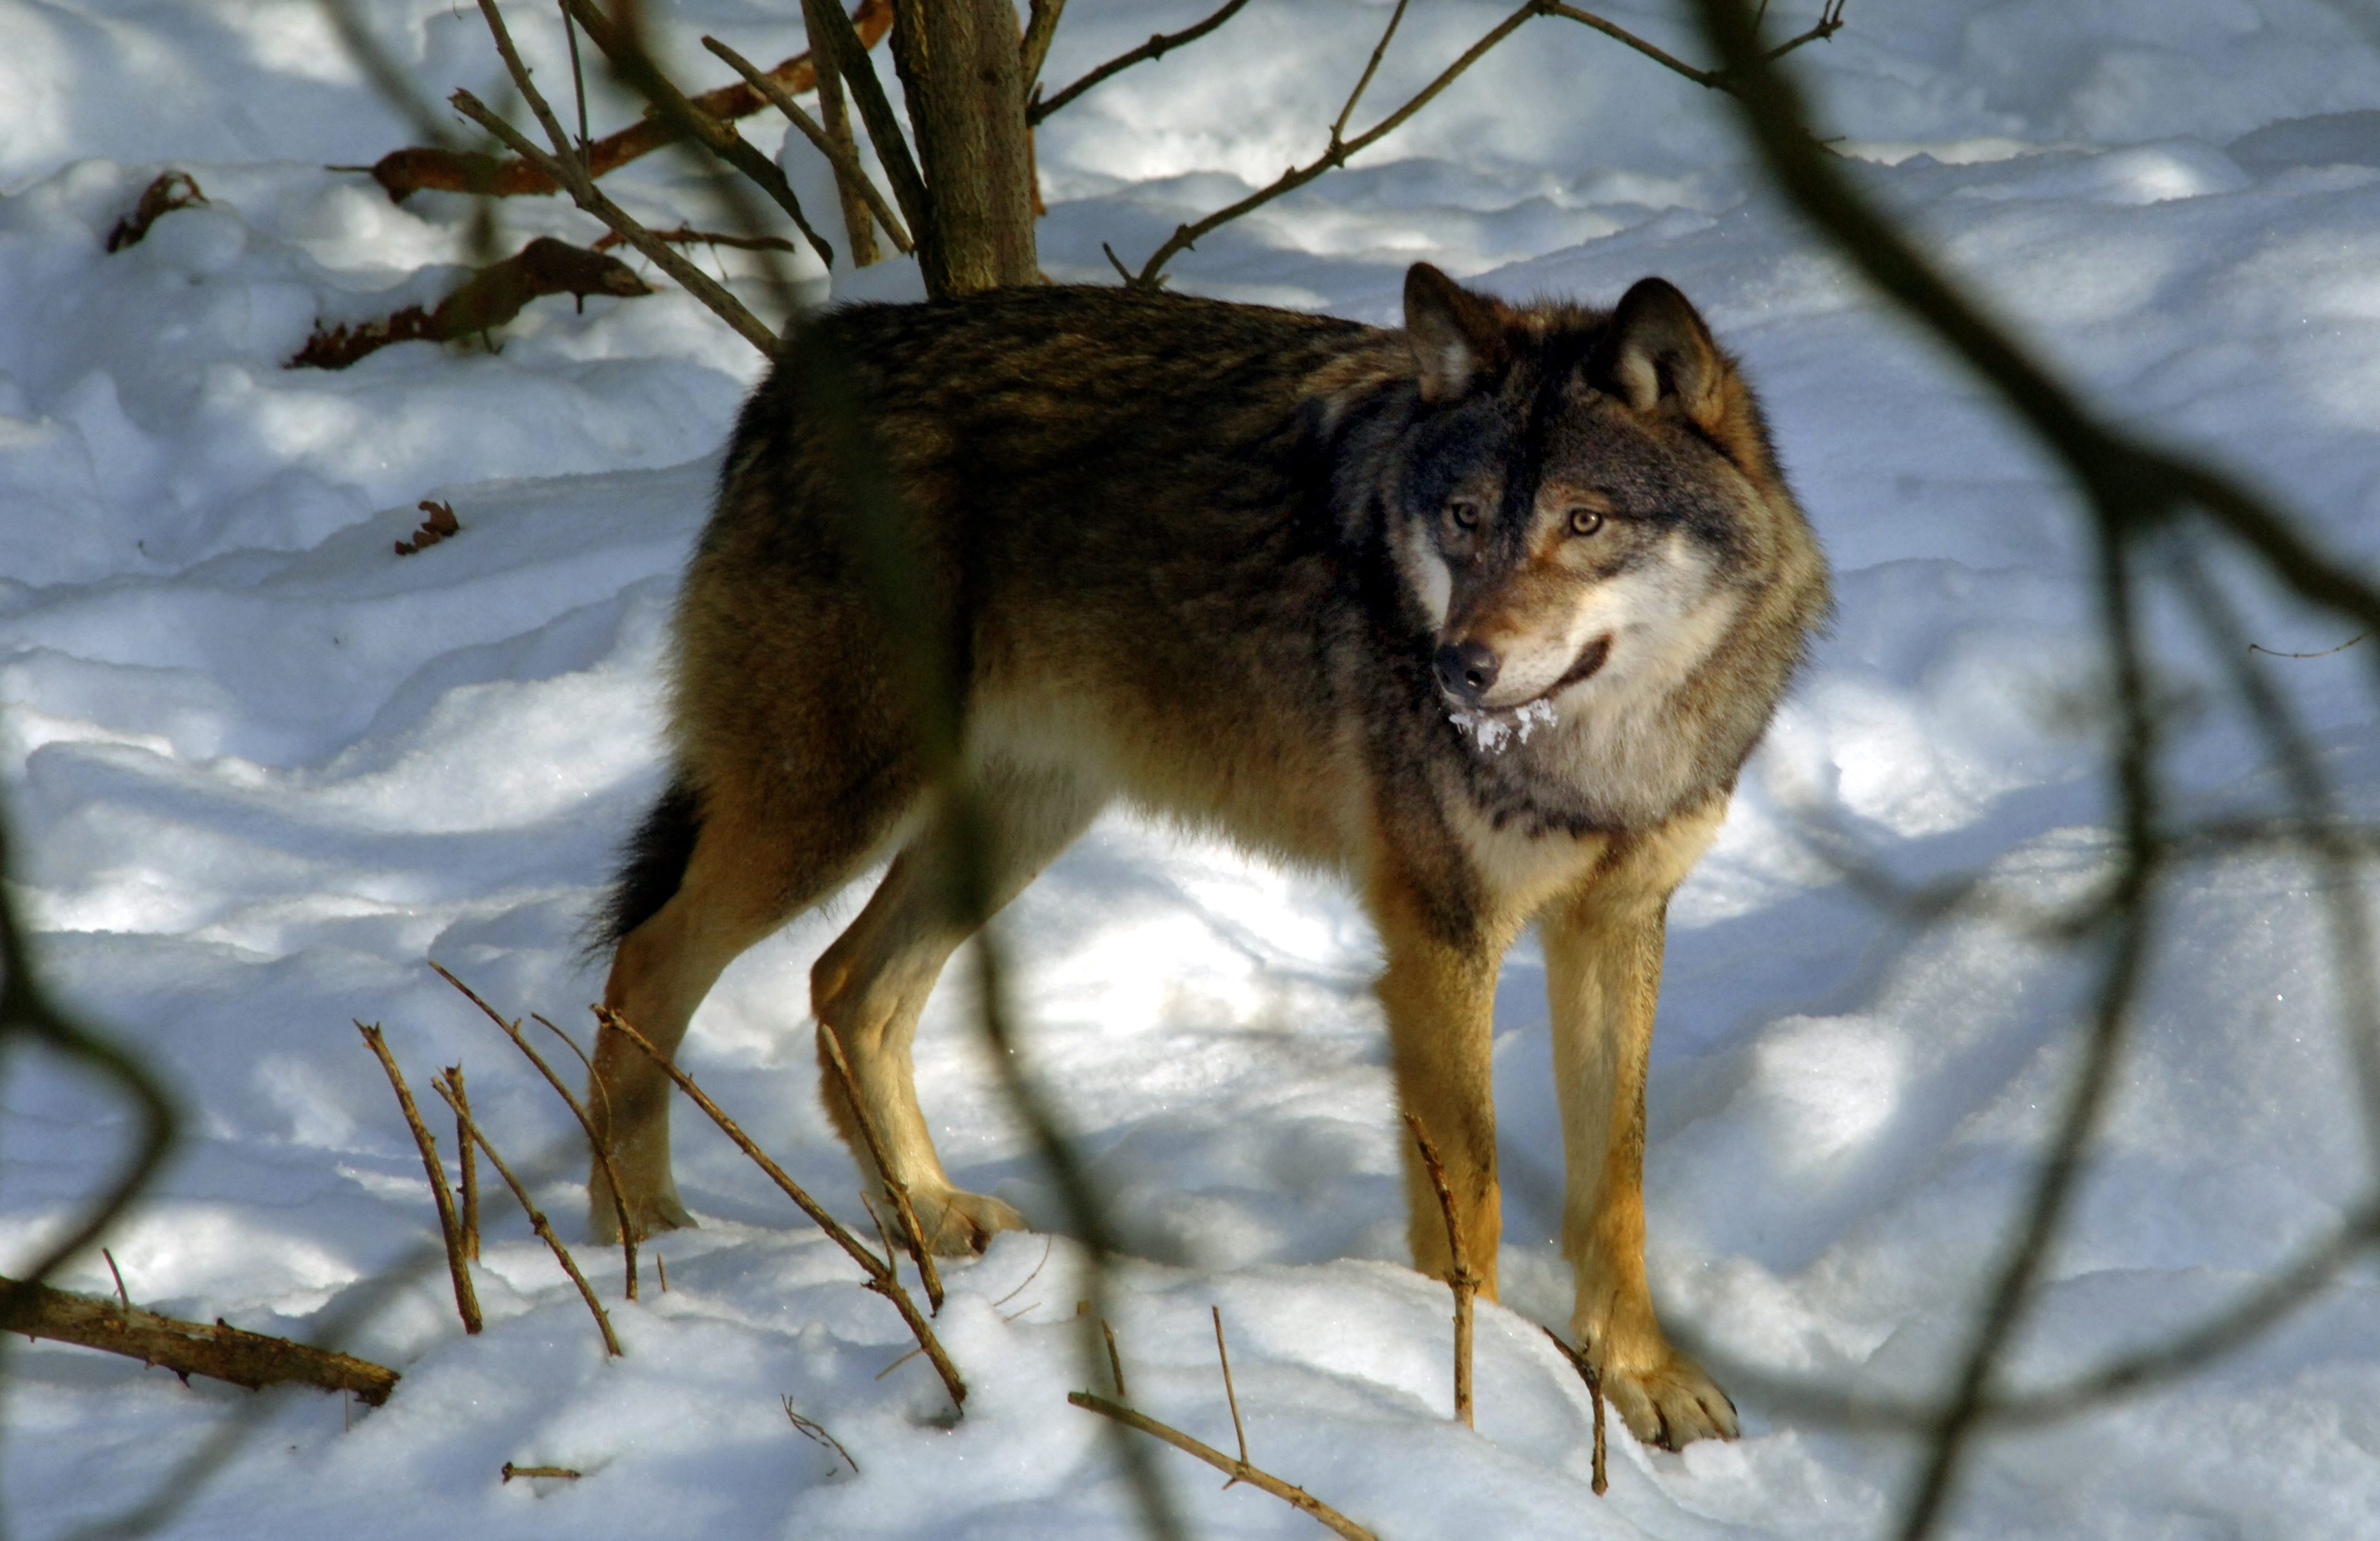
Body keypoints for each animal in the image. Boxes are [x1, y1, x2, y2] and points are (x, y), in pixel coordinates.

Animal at [585, 260, 1828, 1457]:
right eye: (1464, 517)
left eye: (1583, 521)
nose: (1455, 666)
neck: (1596, 756)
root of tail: (802, 360)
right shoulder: (1439, 938)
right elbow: (1468, 1202)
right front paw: (1477, 1400)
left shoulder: (1617, 924)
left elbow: (1614, 1188)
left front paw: (1638, 1381)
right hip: (833, 809)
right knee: (647, 966)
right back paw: (640, 1242)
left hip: (1012, 821)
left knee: (844, 984)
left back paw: (925, 1216)